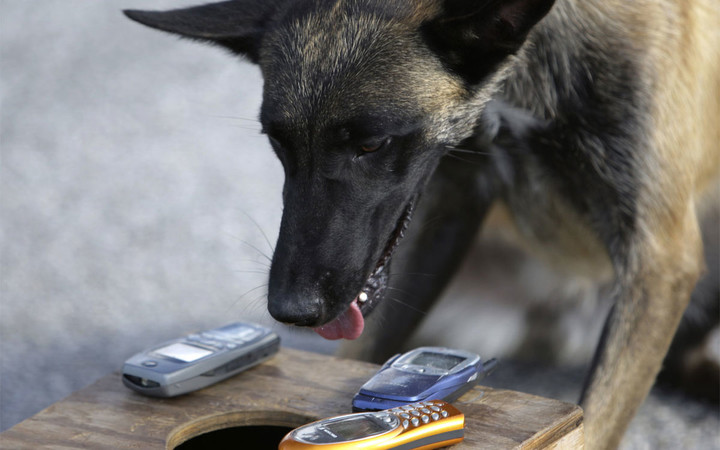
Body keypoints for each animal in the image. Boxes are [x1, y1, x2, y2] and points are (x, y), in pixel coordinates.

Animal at [125, 1, 720, 448]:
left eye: (371, 144)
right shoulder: (449, 202)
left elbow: (590, 425)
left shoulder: (658, 261)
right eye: (278, 142)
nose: (291, 310)